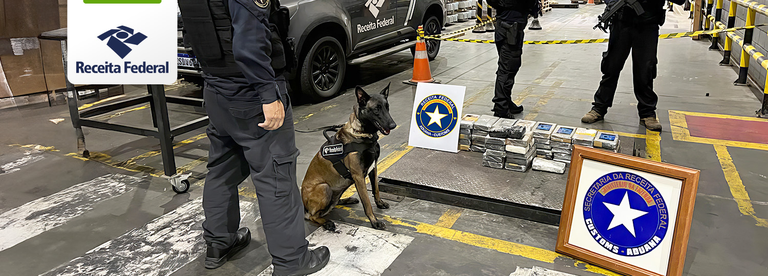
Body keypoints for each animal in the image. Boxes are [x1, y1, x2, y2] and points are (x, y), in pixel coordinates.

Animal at [300, 84, 396, 231]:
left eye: (387, 107)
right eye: (376, 110)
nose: (393, 125)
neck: (362, 134)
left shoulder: (373, 168)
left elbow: (376, 189)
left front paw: (379, 203)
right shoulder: (358, 176)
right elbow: (367, 203)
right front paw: (375, 221)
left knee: (333, 204)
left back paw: (346, 200)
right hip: (324, 187)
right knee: (313, 216)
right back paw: (327, 222)